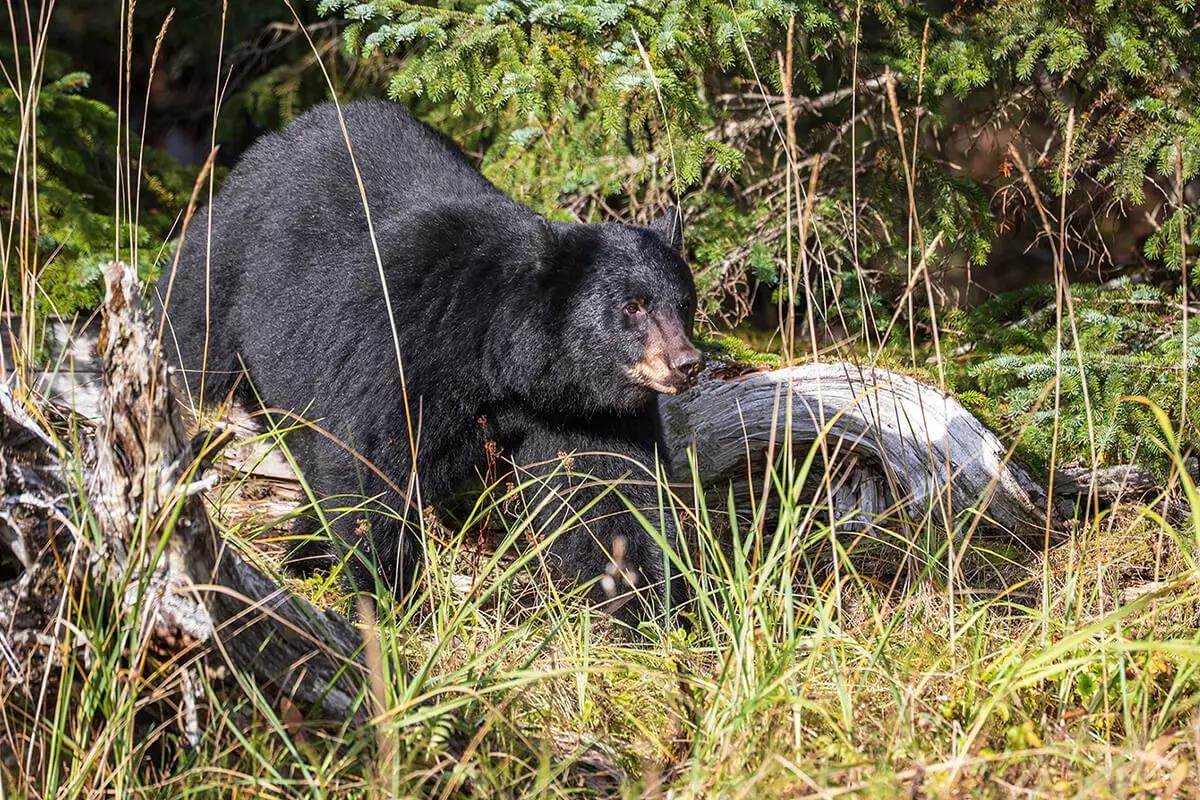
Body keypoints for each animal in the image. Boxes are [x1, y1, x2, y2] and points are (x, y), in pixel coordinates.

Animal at [155, 100, 704, 622]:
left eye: (684, 303)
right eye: (633, 306)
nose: (687, 362)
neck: (502, 360)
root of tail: (291, 129)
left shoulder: (587, 411)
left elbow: (614, 492)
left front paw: (650, 604)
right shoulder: (409, 346)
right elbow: (372, 467)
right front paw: (382, 595)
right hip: (228, 260)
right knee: (191, 331)